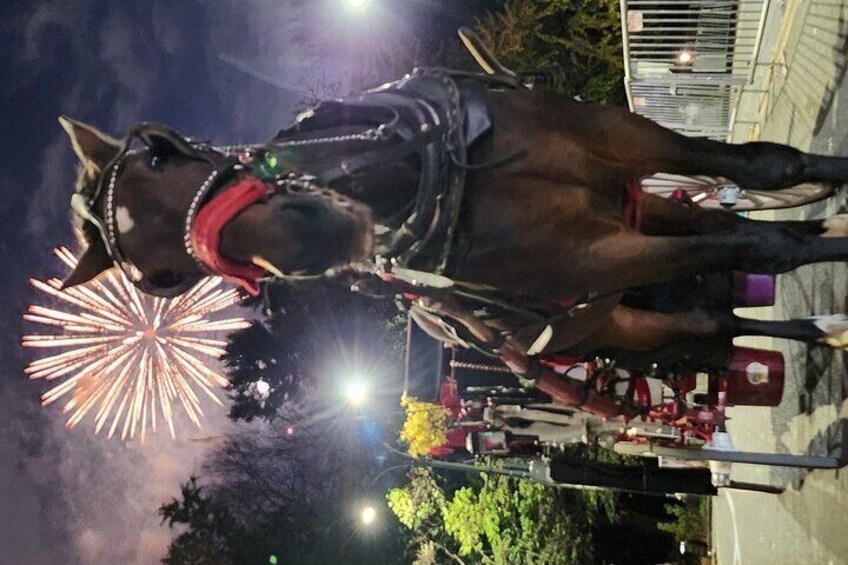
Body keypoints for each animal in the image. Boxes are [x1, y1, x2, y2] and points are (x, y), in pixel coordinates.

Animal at [61, 69, 848, 378]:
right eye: (164, 277)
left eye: (160, 153)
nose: (308, 237)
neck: (437, 180)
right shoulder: (594, 259)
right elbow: (762, 245)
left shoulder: (617, 137)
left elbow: (764, 166)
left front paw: (825, 187)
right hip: (620, 315)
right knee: (710, 318)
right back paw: (816, 324)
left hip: (634, 206)